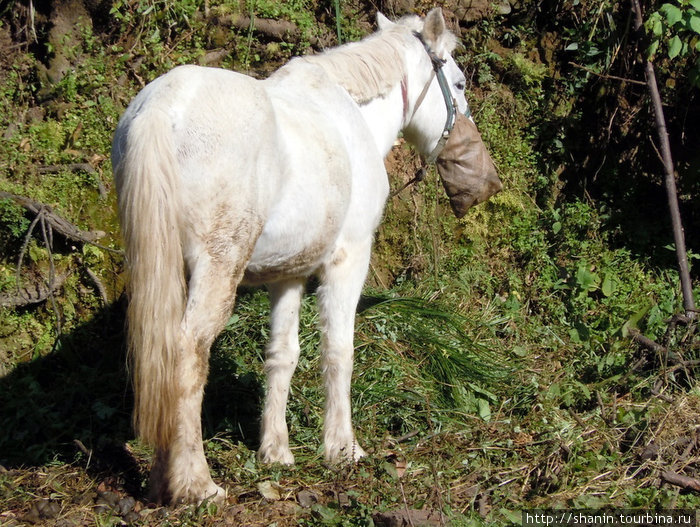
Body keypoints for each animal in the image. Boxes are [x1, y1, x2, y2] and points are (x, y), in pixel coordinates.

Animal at [115, 7, 486, 504]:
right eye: (459, 84)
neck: (354, 117)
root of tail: (161, 107)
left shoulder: (286, 275)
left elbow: (282, 355)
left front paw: (276, 452)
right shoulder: (348, 260)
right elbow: (339, 349)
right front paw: (343, 448)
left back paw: (163, 480)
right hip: (216, 269)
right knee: (187, 352)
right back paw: (197, 483)